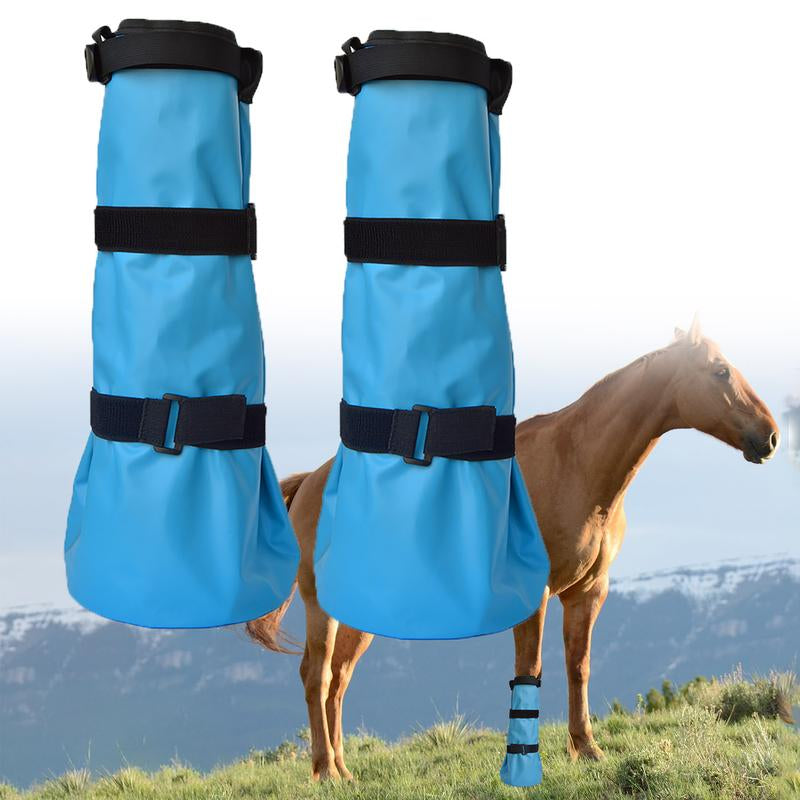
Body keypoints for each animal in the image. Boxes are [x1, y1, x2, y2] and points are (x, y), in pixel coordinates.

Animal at [247, 321, 779, 780]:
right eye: (720, 370)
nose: (771, 435)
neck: (576, 463)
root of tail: (310, 482)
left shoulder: (588, 592)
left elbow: (578, 667)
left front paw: (587, 749)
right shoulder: (535, 595)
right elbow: (531, 670)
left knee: (337, 681)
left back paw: (343, 769)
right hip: (321, 607)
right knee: (316, 676)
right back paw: (324, 771)